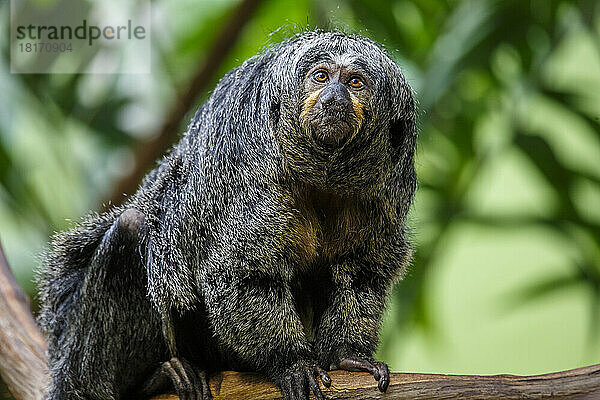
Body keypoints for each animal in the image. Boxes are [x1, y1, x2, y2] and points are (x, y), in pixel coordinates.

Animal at [35, 31, 414, 400]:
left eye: (354, 82)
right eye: (321, 77)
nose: (334, 97)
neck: (320, 175)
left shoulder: (382, 192)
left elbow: (359, 272)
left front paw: (346, 355)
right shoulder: (252, 164)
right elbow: (242, 272)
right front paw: (290, 361)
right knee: (131, 230)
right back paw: (150, 379)